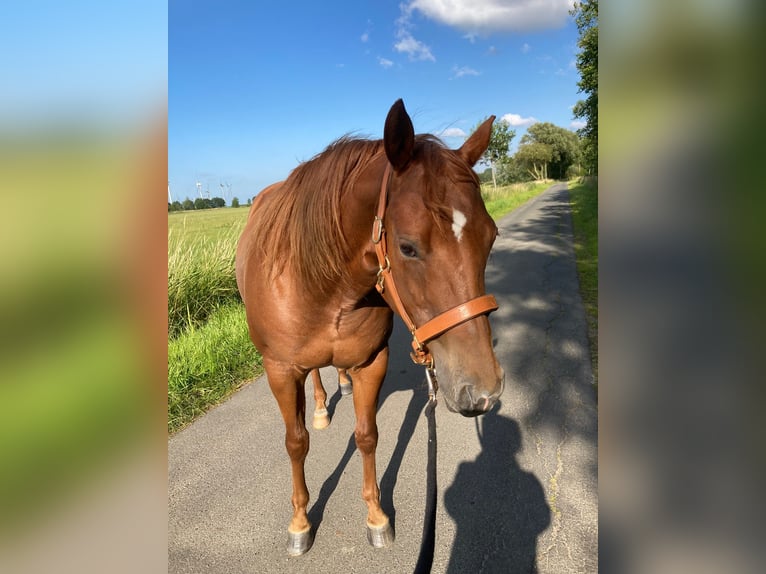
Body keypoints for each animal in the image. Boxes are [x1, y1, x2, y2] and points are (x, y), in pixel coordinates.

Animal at [235, 99, 505, 556]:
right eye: (407, 247)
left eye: (491, 236)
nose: (483, 390)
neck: (321, 283)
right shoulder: (280, 372)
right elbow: (295, 442)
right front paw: (300, 522)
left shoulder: (372, 362)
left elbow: (367, 435)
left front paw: (376, 516)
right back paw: (322, 407)